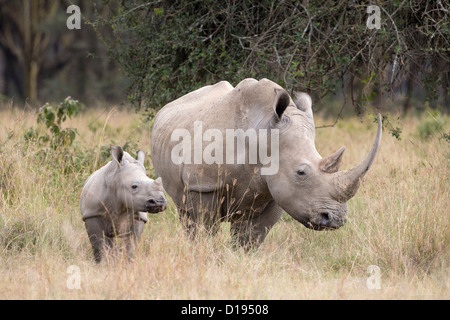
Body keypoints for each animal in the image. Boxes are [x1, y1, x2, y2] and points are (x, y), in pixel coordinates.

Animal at [152, 77, 384, 248]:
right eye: (301, 173)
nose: (336, 219)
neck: (262, 135)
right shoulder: (203, 184)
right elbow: (204, 230)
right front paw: (205, 256)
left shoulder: (277, 192)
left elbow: (250, 239)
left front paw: (239, 261)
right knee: (186, 214)